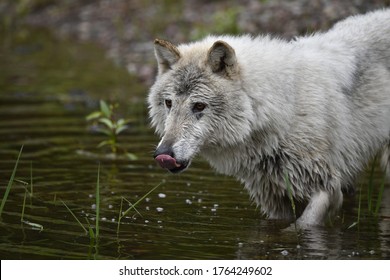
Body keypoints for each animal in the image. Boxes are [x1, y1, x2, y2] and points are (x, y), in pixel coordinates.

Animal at [147, 9, 390, 229]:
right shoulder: (273, 198)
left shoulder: (326, 187)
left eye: (199, 106)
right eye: (169, 103)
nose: (163, 153)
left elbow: (302, 225)